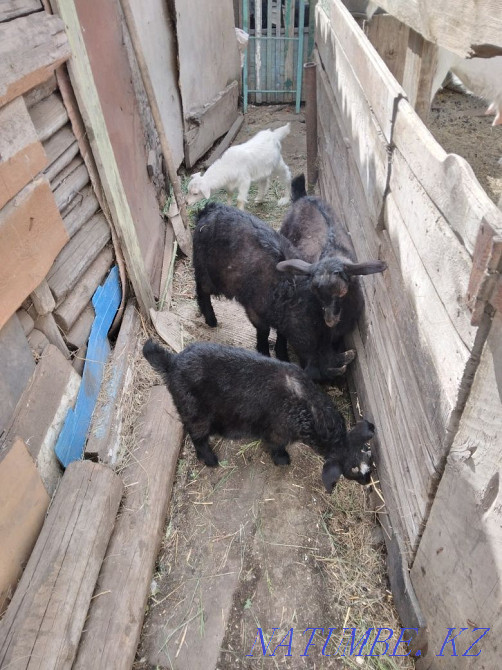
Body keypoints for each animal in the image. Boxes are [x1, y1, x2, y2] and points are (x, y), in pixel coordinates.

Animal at [143, 339, 374, 492]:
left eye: (367, 452)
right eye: (352, 470)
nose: (368, 481)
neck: (309, 410)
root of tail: (172, 362)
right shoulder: (277, 433)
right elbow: (276, 446)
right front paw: (282, 459)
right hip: (194, 411)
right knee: (197, 437)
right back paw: (210, 459)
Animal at [193, 201, 357, 381]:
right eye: (320, 379)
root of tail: (209, 209)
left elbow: (281, 334)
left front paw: (282, 355)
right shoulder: (254, 310)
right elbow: (264, 332)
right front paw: (265, 353)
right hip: (205, 271)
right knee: (201, 290)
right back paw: (211, 320)